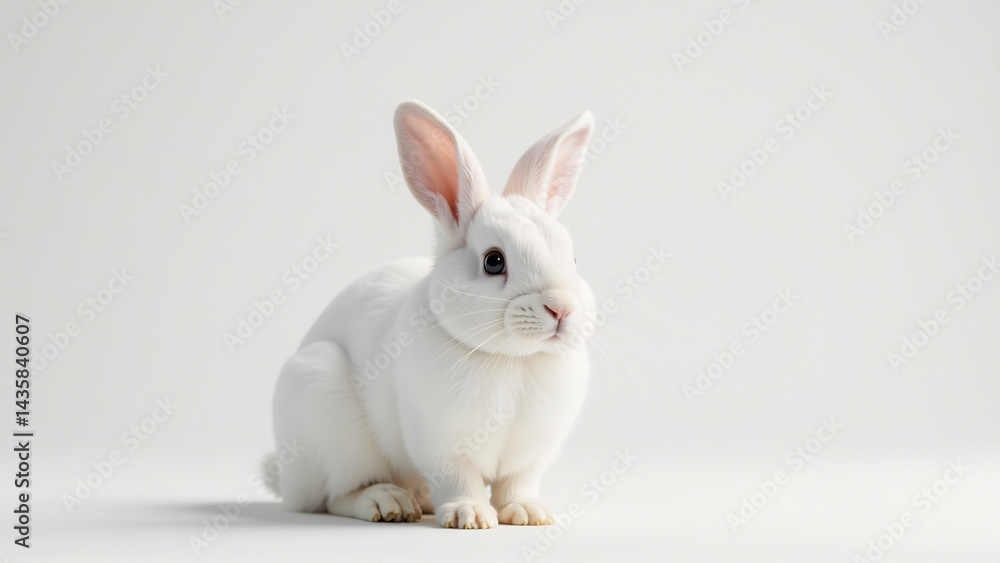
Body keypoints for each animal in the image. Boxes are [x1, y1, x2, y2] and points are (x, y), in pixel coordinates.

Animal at [267, 100, 596, 529]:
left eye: (572, 258)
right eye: (494, 261)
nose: (562, 308)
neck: (511, 360)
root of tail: (285, 480)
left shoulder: (530, 454)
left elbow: (516, 484)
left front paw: (528, 513)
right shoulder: (442, 445)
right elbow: (459, 480)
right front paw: (469, 515)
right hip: (325, 411)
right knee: (337, 495)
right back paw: (388, 502)